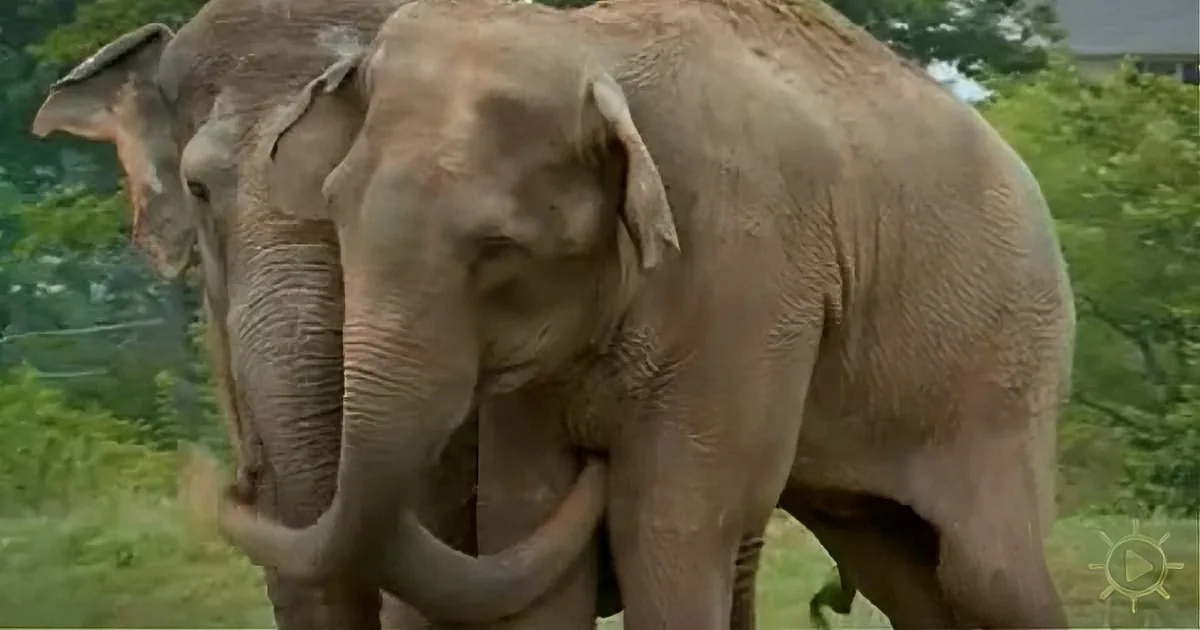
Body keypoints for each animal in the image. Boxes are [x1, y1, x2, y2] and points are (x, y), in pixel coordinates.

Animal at [214, 0, 1076, 628]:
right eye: (333, 208)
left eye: (497, 247)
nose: (235, 483)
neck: (592, 43)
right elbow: (525, 522)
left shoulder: (749, 279)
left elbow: (667, 526)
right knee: (899, 567)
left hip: (1005, 364)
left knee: (991, 575)